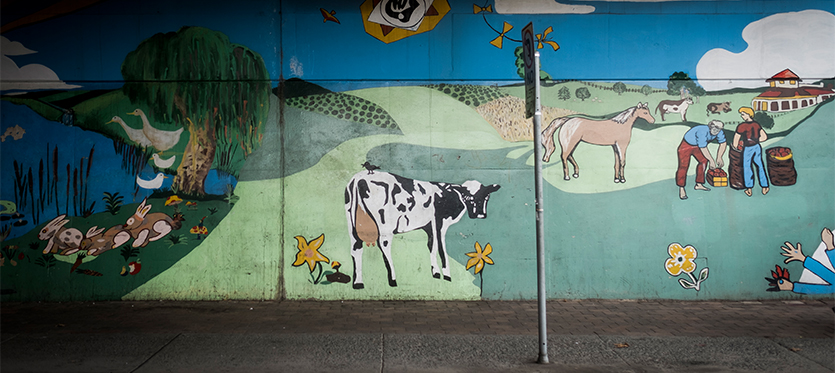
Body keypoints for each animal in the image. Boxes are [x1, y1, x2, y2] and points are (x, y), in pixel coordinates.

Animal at [342, 170, 500, 290]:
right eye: (467, 197)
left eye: (486, 197)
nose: (480, 215)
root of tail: (360, 177)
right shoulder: (439, 223)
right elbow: (441, 249)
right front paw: (447, 275)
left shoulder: (429, 226)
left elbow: (432, 246)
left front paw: (435, 272)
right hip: (385, 223)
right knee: (384, 245)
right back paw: (392, 279)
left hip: (352, 224)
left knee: (356, 249)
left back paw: (358, 283)